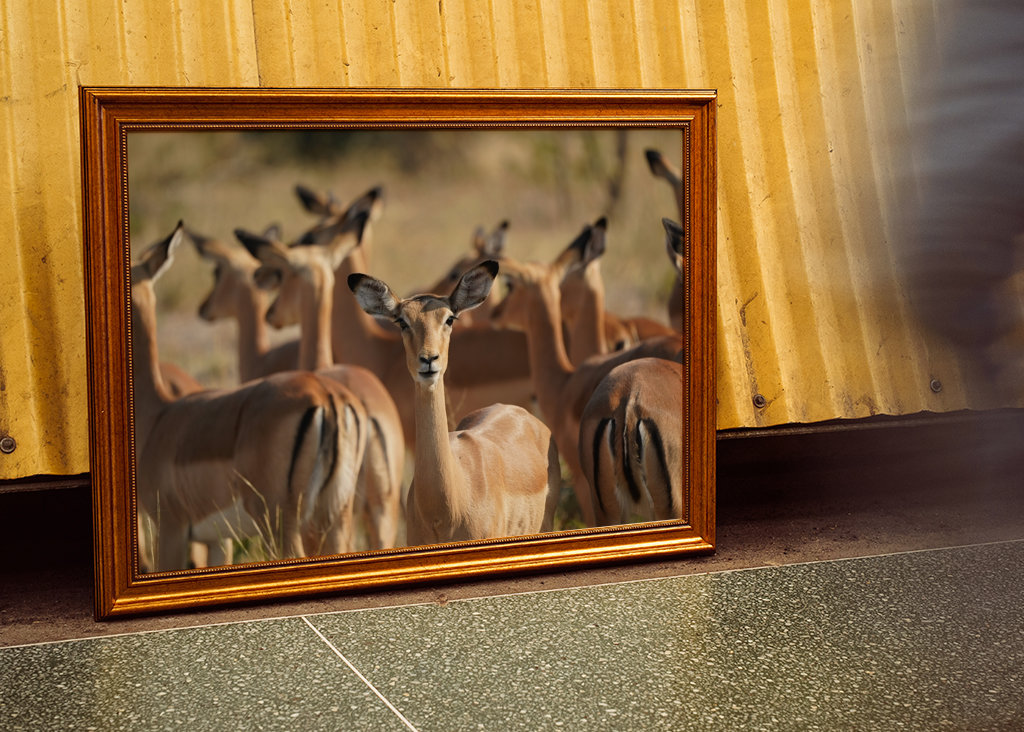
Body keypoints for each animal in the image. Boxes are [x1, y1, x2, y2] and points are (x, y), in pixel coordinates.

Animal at [131, 222, 366, 571]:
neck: (158, 416)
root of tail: (325, 395)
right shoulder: (217, 539)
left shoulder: (171, 528)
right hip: (336, 514)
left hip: (281, 523)